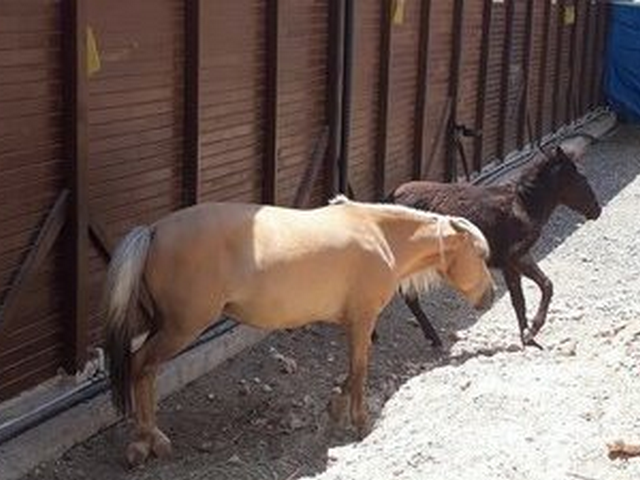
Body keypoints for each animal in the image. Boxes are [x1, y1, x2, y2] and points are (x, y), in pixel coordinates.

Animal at [104, 194, 496, 464]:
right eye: (480, 255)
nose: (490, 296)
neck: (379, 235)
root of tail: (154, 231)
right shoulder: (363, 320)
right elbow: (360, 370)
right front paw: (360, 423)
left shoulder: (353, 324)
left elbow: (350, 373)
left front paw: (335, 409)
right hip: (180, 329)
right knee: (141, 368)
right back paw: (146, 441)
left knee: (147, 373)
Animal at [384, 139, 600, 348]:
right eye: (582, 179)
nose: (596, 210)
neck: (525, 206)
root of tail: (388, 199)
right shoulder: (516, 256)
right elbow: (543, 287)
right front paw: (532, 331)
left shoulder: (511, 262)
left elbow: (522, 297)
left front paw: (526, 335)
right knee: (406, 296)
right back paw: (431, 338)